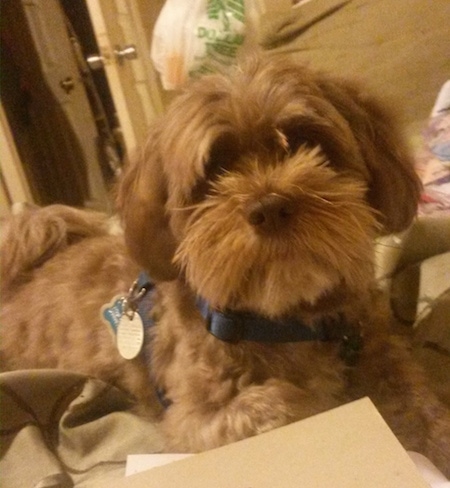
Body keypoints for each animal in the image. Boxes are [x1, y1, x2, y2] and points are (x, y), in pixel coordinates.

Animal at [2, 56, 450, 472]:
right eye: (215, 170)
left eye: (307, 143)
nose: (269, 207)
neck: (284, 321)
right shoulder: (192, 421)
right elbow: (282, 403)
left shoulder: (385, 358)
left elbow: (423, 411)